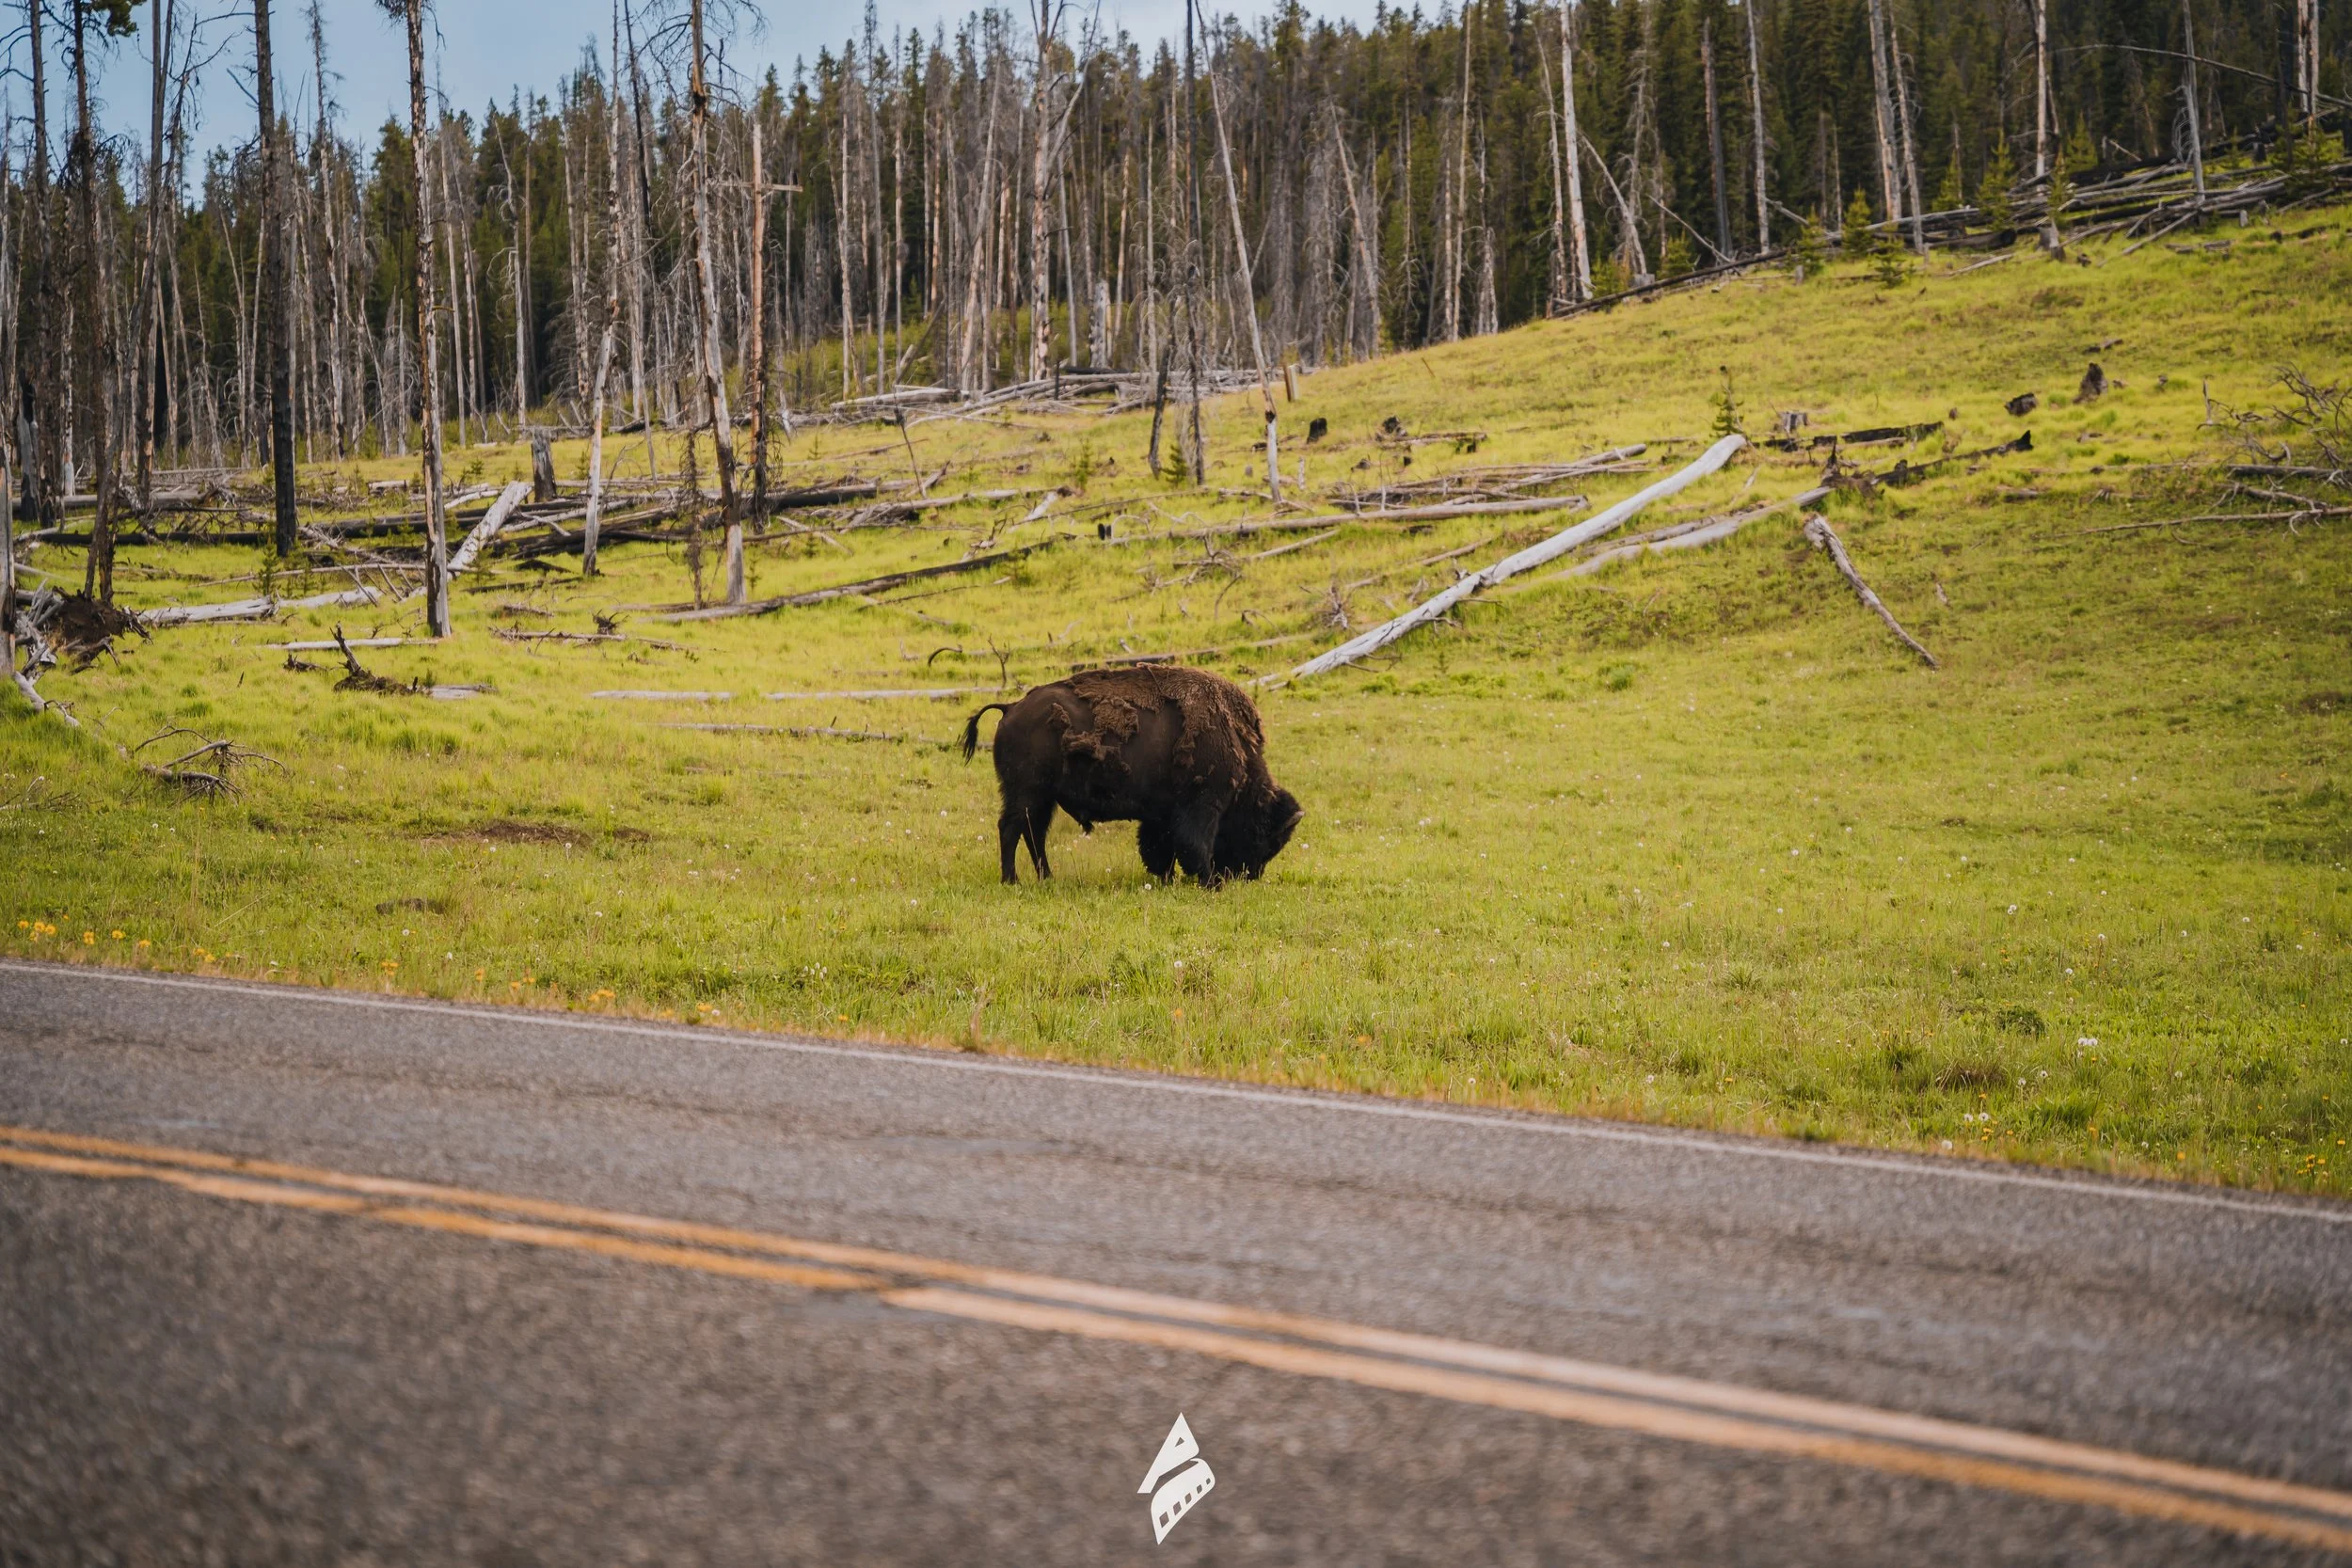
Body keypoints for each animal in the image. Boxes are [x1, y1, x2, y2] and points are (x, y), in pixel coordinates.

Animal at [961, 665, 1302, 886]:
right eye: (1268, 837)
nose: (1248, 876)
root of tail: (1010, 708)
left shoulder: (1162, 815)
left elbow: (1160, 847)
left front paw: (1166, 879)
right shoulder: (1202, 807)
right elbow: (1195, 845)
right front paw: (1207, 883)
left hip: (1043, 798)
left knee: (1034, 834)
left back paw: (1046, 878)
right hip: (1026, 794)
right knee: (1011, 828)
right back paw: (1012, 881)